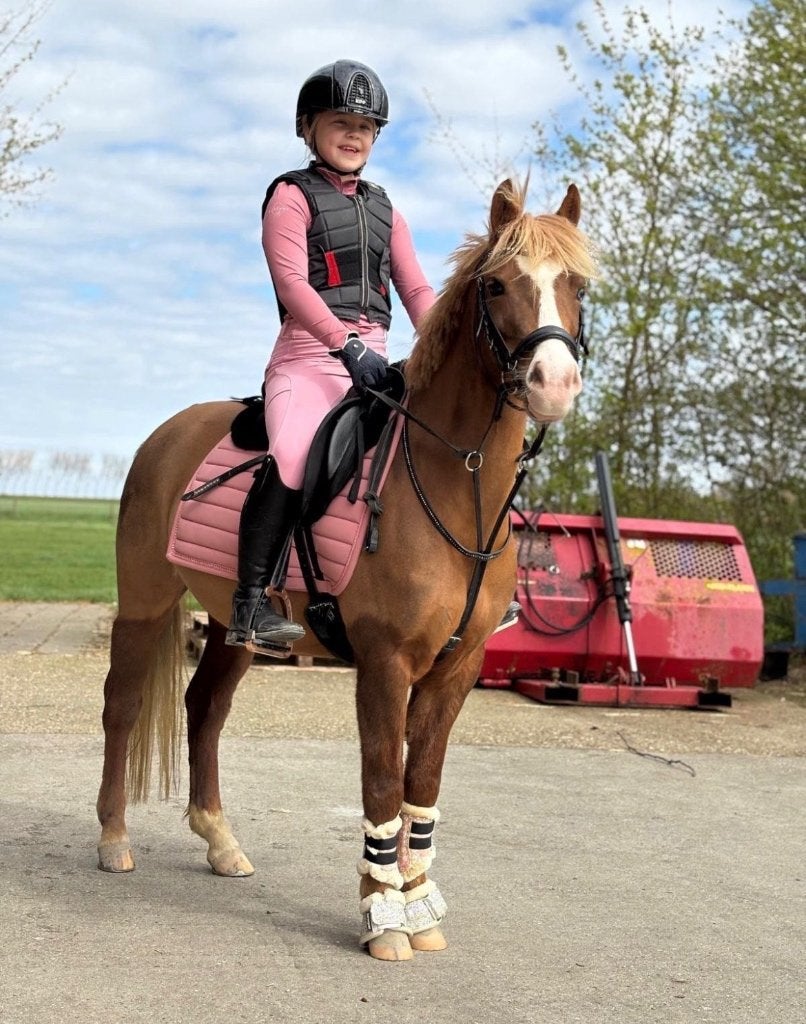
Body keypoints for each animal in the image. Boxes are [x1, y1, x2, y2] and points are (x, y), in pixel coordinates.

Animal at [96, 178, 597, 962]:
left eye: (576, 285)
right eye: (496, 285)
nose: (554, 381)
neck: (455, 485)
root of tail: (167, 433)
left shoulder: (456, 669)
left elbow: (423, 783)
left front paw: (419, 904)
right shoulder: (386, 663)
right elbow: (383, 779)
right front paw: (384, 918)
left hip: (235, 628)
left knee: (205, 708)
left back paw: (220, 841)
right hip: (145, 603)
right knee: (120, 705)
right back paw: (114, 838)